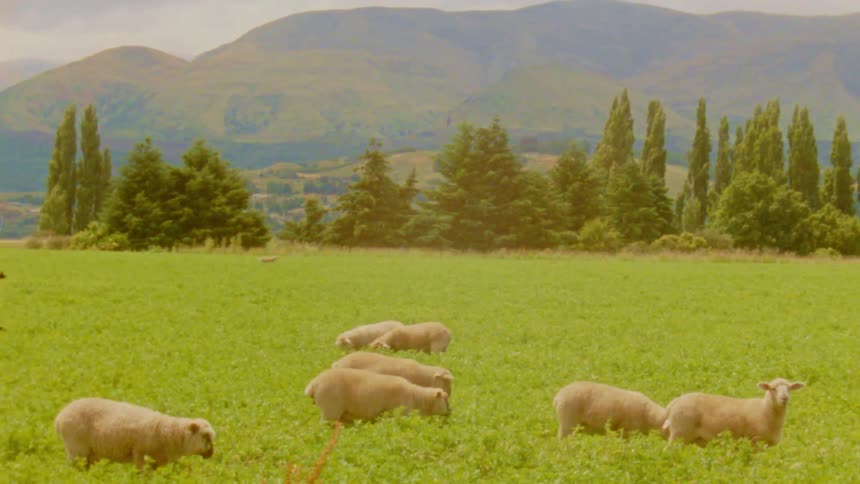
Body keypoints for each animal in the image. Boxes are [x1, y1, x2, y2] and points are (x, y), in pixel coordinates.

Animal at [54, 398, 215, 469]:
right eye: (205, 436)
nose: (211, 453)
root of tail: (60, 416)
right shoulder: (139, 452)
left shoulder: (157, 461)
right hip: (76, 450)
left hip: (89, 454)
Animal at [304, 368, 450, 423]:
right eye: (446, 398)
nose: (450, 411)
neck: (416, 398)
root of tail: (314, 384)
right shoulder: (398, 414)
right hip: (330, 409)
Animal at [662, 378, 805, 448]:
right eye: (773, 388)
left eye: (789, 388)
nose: (785, 398)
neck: (765, 409)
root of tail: (674, 402)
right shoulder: (754, 442)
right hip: (679, 433)